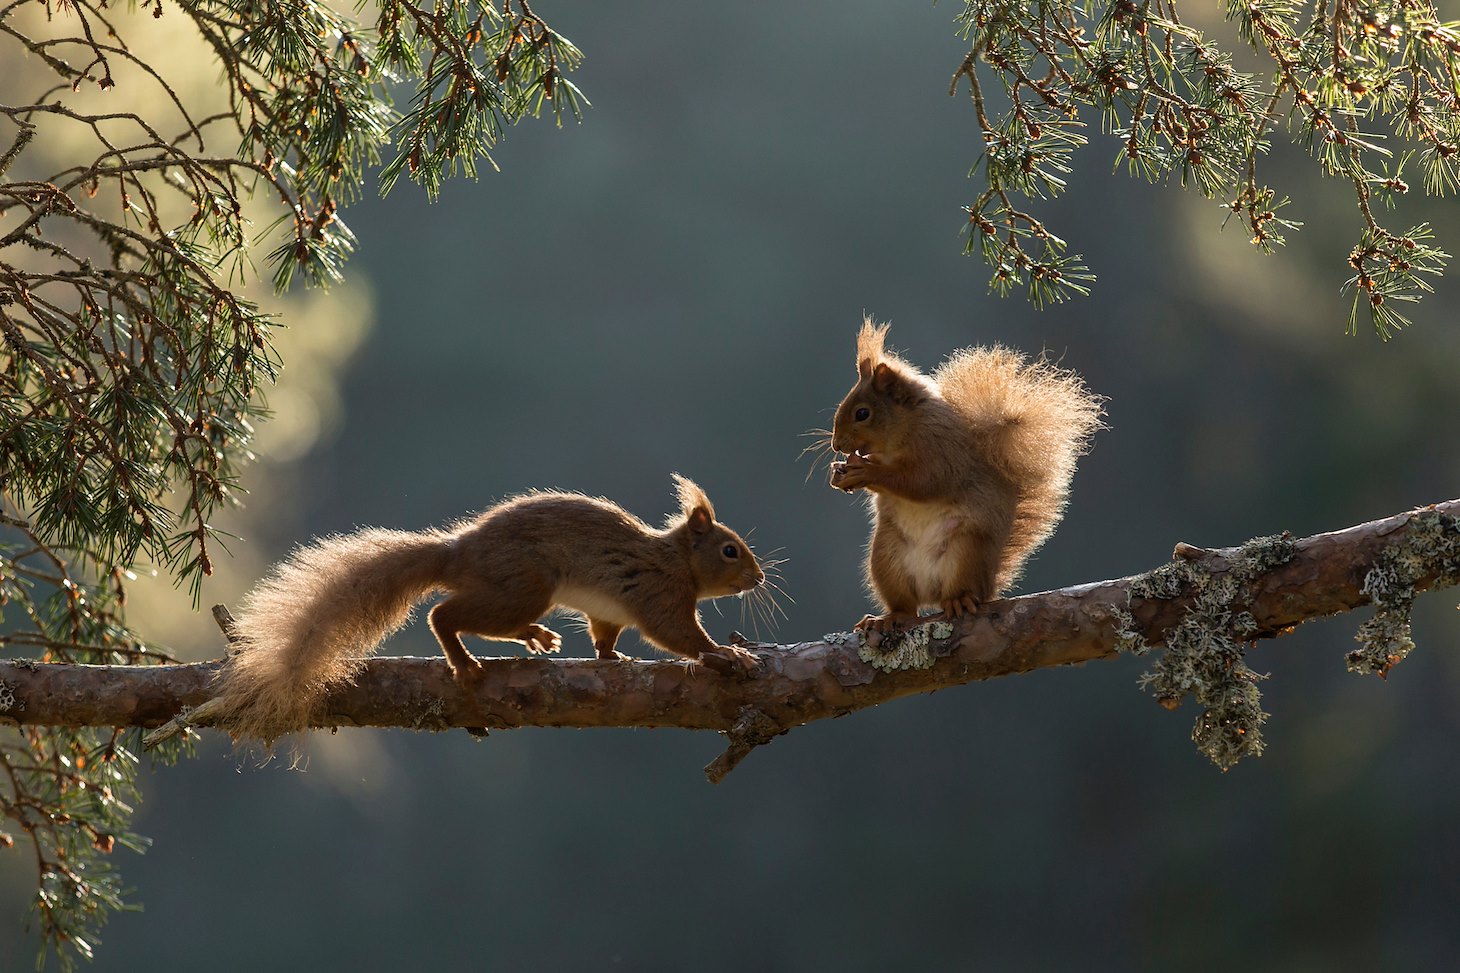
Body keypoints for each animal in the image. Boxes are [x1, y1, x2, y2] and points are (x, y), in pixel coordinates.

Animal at [213, 473, 776, 739]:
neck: (675, 558)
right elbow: (679, 636)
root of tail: (459, 551)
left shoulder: (609, 611)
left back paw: (534, 636)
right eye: (730, 550)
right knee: (444, 615)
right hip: (525, 585)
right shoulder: (660, 596)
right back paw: (464, 660)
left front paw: (612, 658)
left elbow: (604, 636)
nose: (760, 577)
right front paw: (727, 656)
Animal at [829, 318, 1097, 634]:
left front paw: (867, 471)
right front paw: (840, 474)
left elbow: (923, 482)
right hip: (886, 558)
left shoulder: (943, 451)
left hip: (966, 553)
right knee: (906, 606)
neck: (901, 434)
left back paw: (958, 600)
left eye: (862, 413)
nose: (836, 445)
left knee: (964, 591)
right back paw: (890, 617)